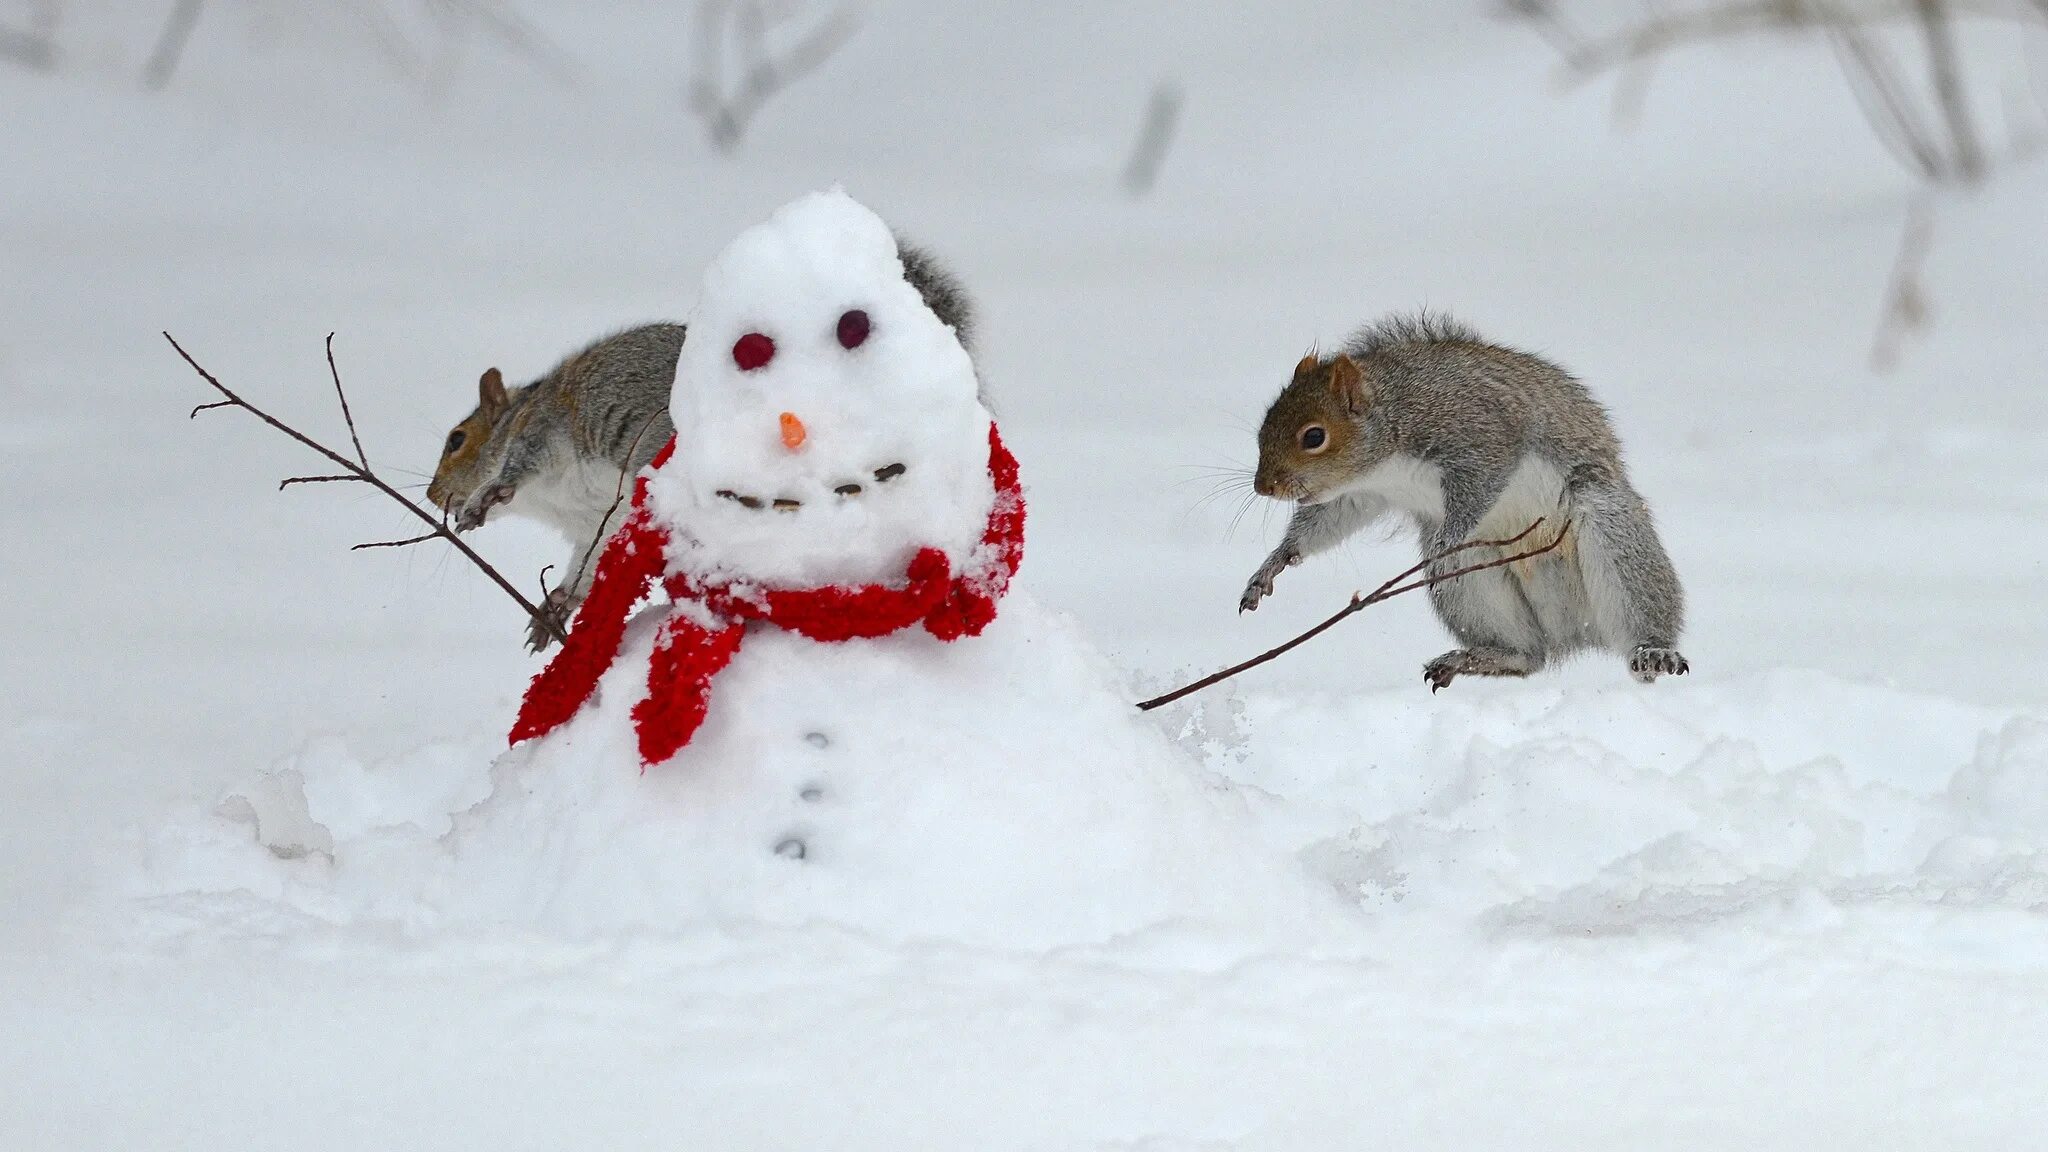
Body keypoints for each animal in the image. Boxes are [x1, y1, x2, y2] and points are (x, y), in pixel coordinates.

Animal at [423, 237, 974, 651]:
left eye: (456, 440)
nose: (431, 495)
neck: (551, 501)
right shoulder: (598, 523)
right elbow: (586, 567)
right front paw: (553, 606)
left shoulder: (544, 428)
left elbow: (515, 466)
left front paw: (482, 500)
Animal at [1228, 313, 1695, 684]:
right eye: (1265, 423)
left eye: (1314, 437)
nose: (1264, 487)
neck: (1392, 422)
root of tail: (1573, 633)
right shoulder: (1362, 493)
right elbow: (1325, 523)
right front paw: (1272, 565)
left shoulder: (1478, 437)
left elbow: (1482, 484)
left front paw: (1447, 540)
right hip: (1472, 589)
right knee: (1528, 657)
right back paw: (1482, 657)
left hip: (1611, 532)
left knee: (1637, 616)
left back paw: (1653, 651)